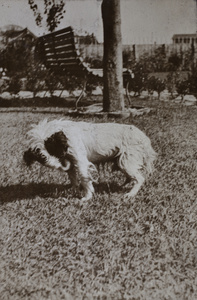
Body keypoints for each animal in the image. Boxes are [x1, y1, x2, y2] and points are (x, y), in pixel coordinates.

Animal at [23, 118, 156, 200]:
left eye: (52, 148)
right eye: (38, 155)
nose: (45, 158)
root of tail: (144, 137)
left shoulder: (80, 161)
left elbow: (84, 178)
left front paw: (87, 197)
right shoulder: (71, 164)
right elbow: (74, 180)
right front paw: (74, 191)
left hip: (126, 162)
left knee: (140, 178)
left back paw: (130, 194)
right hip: (122, 162)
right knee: (131, 177)